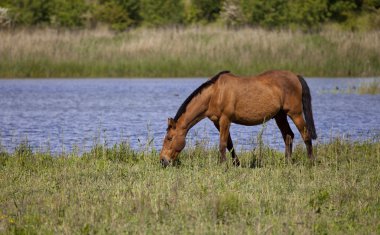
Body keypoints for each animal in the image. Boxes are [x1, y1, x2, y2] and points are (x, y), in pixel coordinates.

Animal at [160, 70, 318, 167]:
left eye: (169, 138)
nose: (163, 160)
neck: (215, 93)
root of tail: (295, 76)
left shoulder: (225, 119)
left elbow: (222, 144)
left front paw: (222, 166)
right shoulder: (217, 122)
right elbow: (229, 144)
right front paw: (236, 164)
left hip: (295, 113)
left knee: (305, 135)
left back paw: (311, 162)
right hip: (280, 115)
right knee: (288, 136)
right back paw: (287, 162)